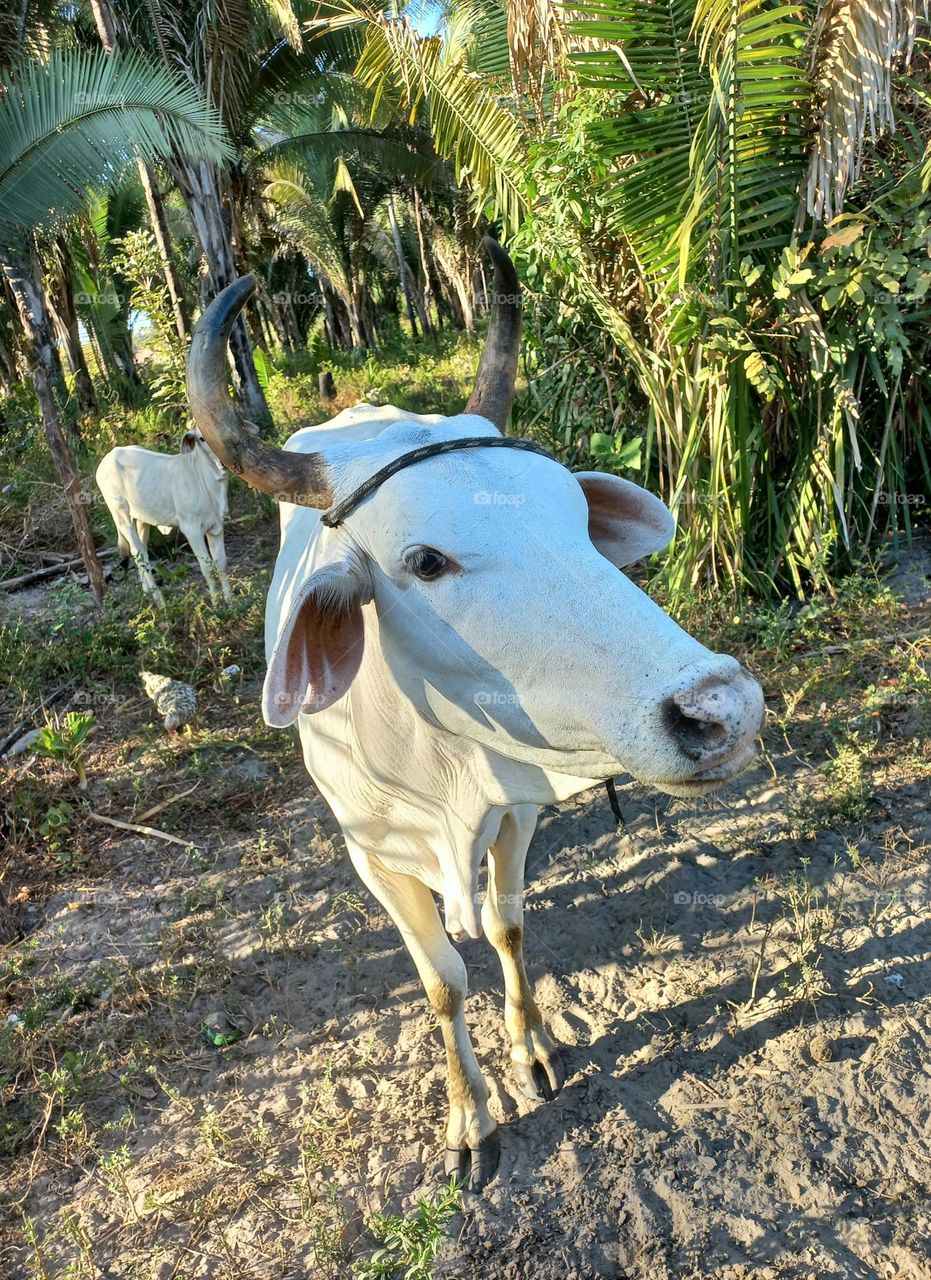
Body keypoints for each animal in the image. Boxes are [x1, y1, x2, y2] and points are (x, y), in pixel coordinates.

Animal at [95, 432, 232, 608]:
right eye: (202, 438)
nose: (224, 461)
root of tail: (109, 456)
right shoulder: (191, 528)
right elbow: (206, 566)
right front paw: (216, 604)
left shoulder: (216, 525)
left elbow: (221, 562)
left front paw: (230, 601)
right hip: (120, 514)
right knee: (138, 552)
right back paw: (160, 601)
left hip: (141, 518)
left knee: (142, 551)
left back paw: (147, 593)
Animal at [185, 240, 764, 1192]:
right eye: (425, 561)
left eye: (577, 515)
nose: (721, 707)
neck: (440, 774)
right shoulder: (371, 856)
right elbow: (442, 983)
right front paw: (468, 1117)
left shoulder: (515, 809)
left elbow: (506, 925)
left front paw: (531, 1050)